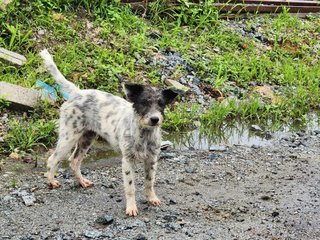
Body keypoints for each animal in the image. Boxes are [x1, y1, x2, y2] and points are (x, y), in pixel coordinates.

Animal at [39, 48, 178, 216]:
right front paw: (131, 207)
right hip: (69, 137)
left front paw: (152, 198)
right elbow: (130, 187)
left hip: (87, 137)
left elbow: (149, 182)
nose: (155, 119)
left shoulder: (152, 159)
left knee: (74, 160)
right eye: (144, 102)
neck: (143, 134)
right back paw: (51, 181)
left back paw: (81, 182)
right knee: (53, 159)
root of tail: (77, 92)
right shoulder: (127, 161)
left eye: (161, 104)